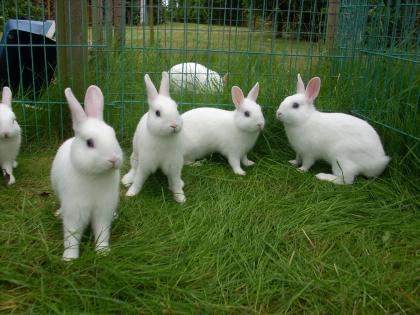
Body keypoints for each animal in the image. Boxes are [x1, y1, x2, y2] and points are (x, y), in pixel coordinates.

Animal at [50, 85, 123, 260]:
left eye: (113, 134)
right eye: (89, 143)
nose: (113, 159)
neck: (94, 175)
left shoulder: (103, 210)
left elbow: (102, 232)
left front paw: (103, 251)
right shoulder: (74, 211)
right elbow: (72, 236)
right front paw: (69, 258)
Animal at [122, 71, 186, 204]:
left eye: (177, 108)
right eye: (157, 113)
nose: (174, 125)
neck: (163, 137)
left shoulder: (174, 165)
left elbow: (175, 181)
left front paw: (180, 197)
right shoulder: (145, 163)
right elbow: (139, 179)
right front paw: (131, 193)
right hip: (135, 156)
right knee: (134, 169)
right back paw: (127, 180)